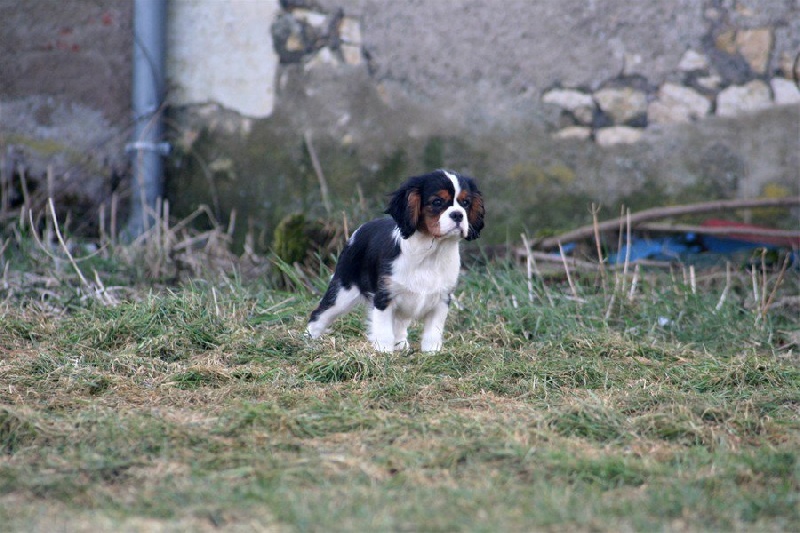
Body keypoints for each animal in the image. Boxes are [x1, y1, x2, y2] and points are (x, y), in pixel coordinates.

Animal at [304, 170, 482, 352]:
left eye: (466, 203)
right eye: (437, 202)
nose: (458, 214)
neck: (431, 251)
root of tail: (358, 231)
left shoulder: (442, 299)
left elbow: (434, 330)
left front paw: (432, 352)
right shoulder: (384, 296)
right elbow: (383, 328)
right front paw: (384, 351)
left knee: (400, 323)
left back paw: (401, 344)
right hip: (342, 292)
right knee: (319, 315)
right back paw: (308, 340)